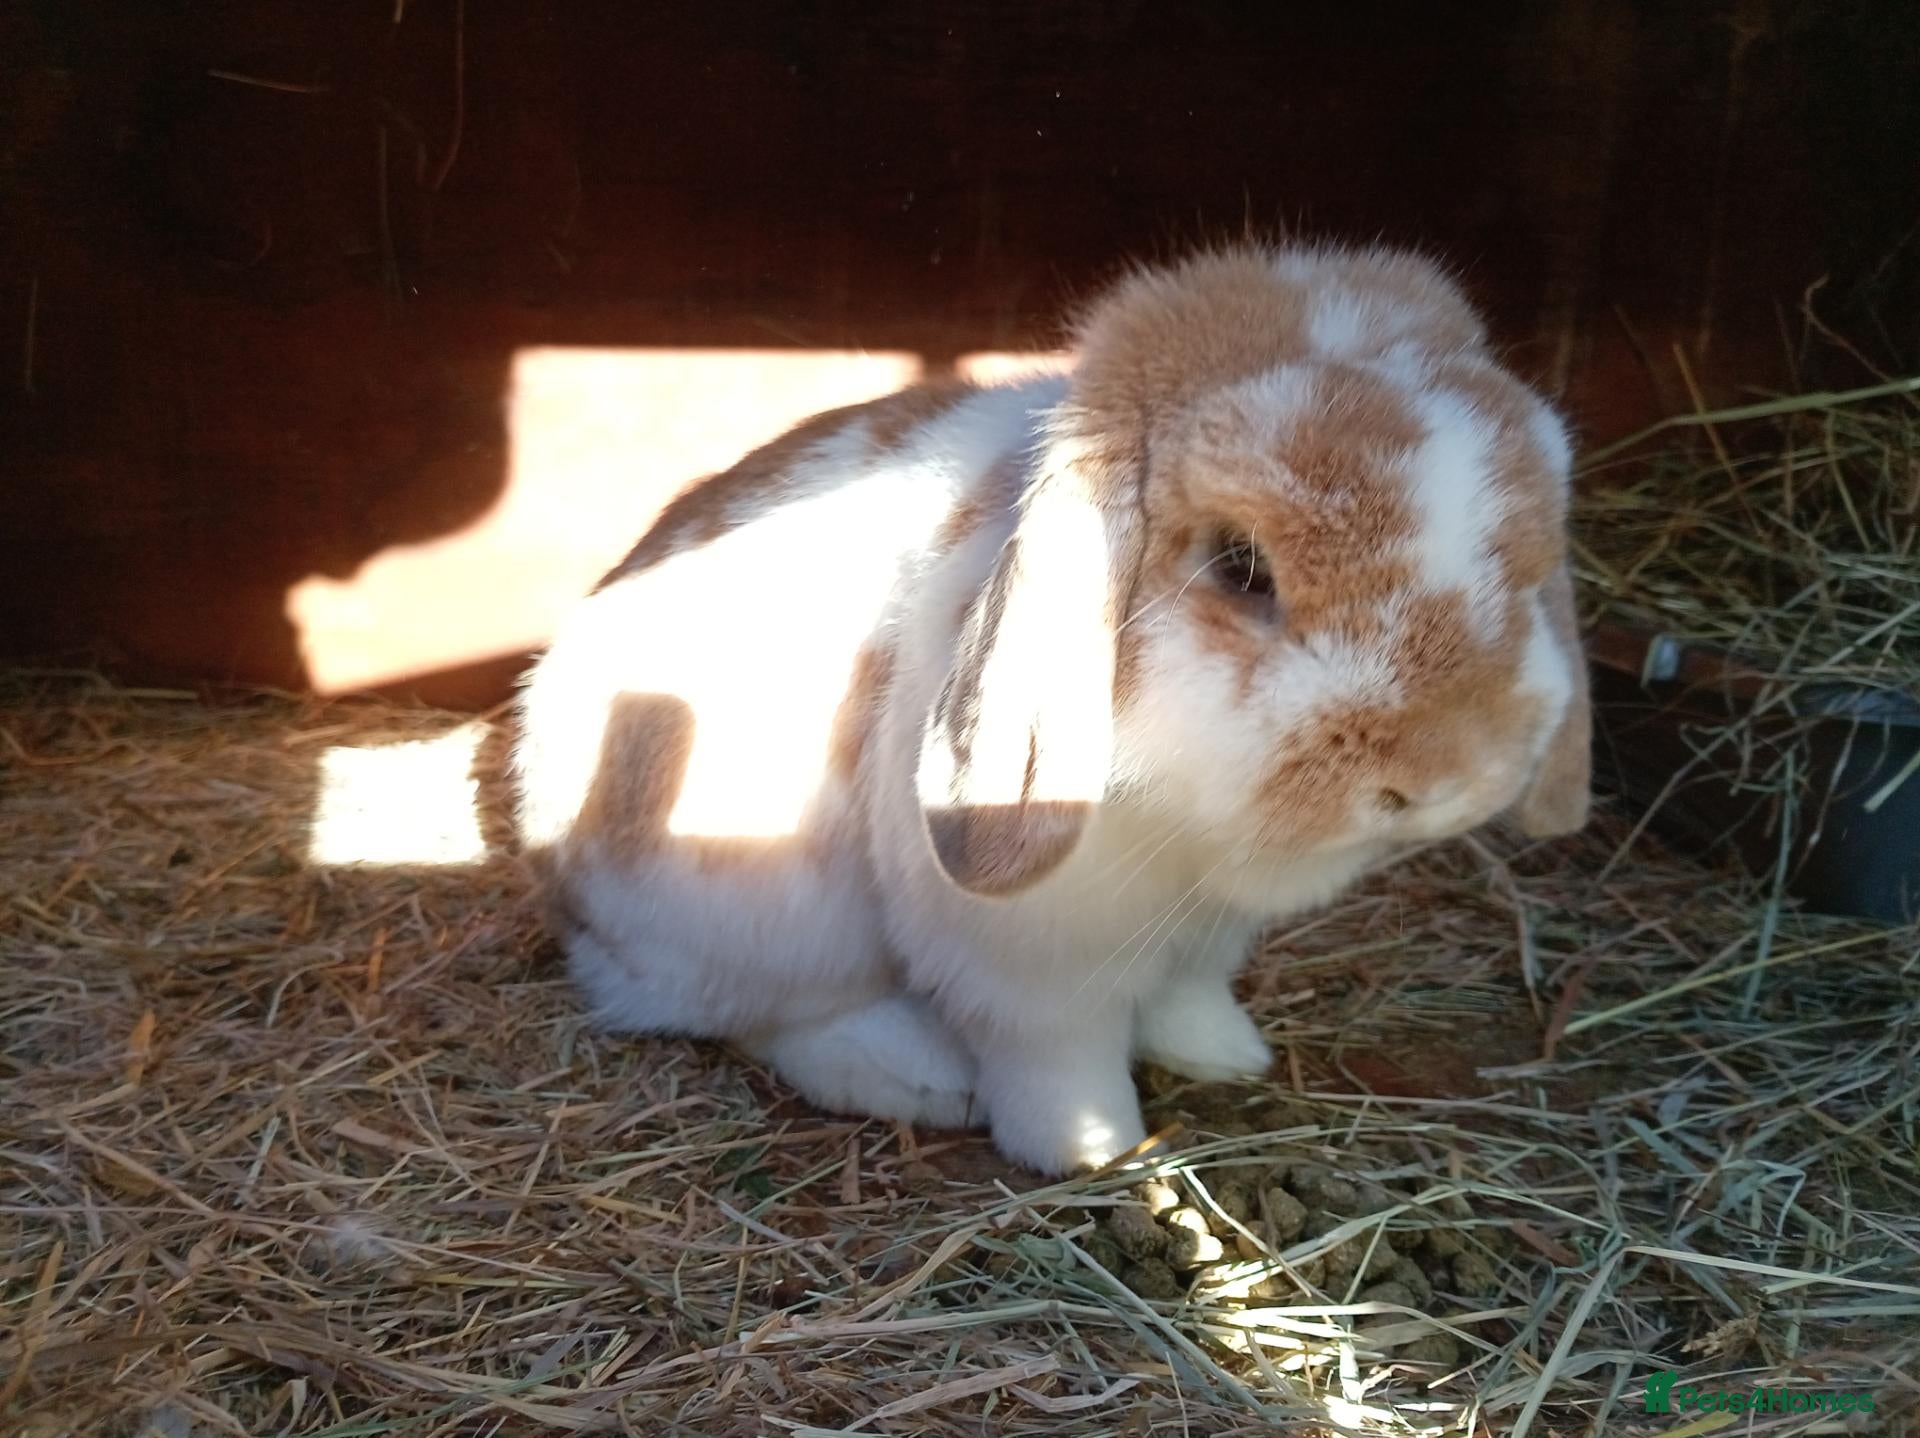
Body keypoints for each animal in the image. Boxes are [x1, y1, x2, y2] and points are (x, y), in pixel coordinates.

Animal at [512, 242, 1592, 1176]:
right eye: (1241, 566)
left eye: (1528, 562)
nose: (1446, 773)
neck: (1185, 832)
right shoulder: (1030, 969)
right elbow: (1057, 1060)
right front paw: (1095, 1152)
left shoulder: (1205, 932)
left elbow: (1189, 994)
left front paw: (1223, 1054)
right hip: (765, 907)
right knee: (760, 1010)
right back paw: (918, 1074)